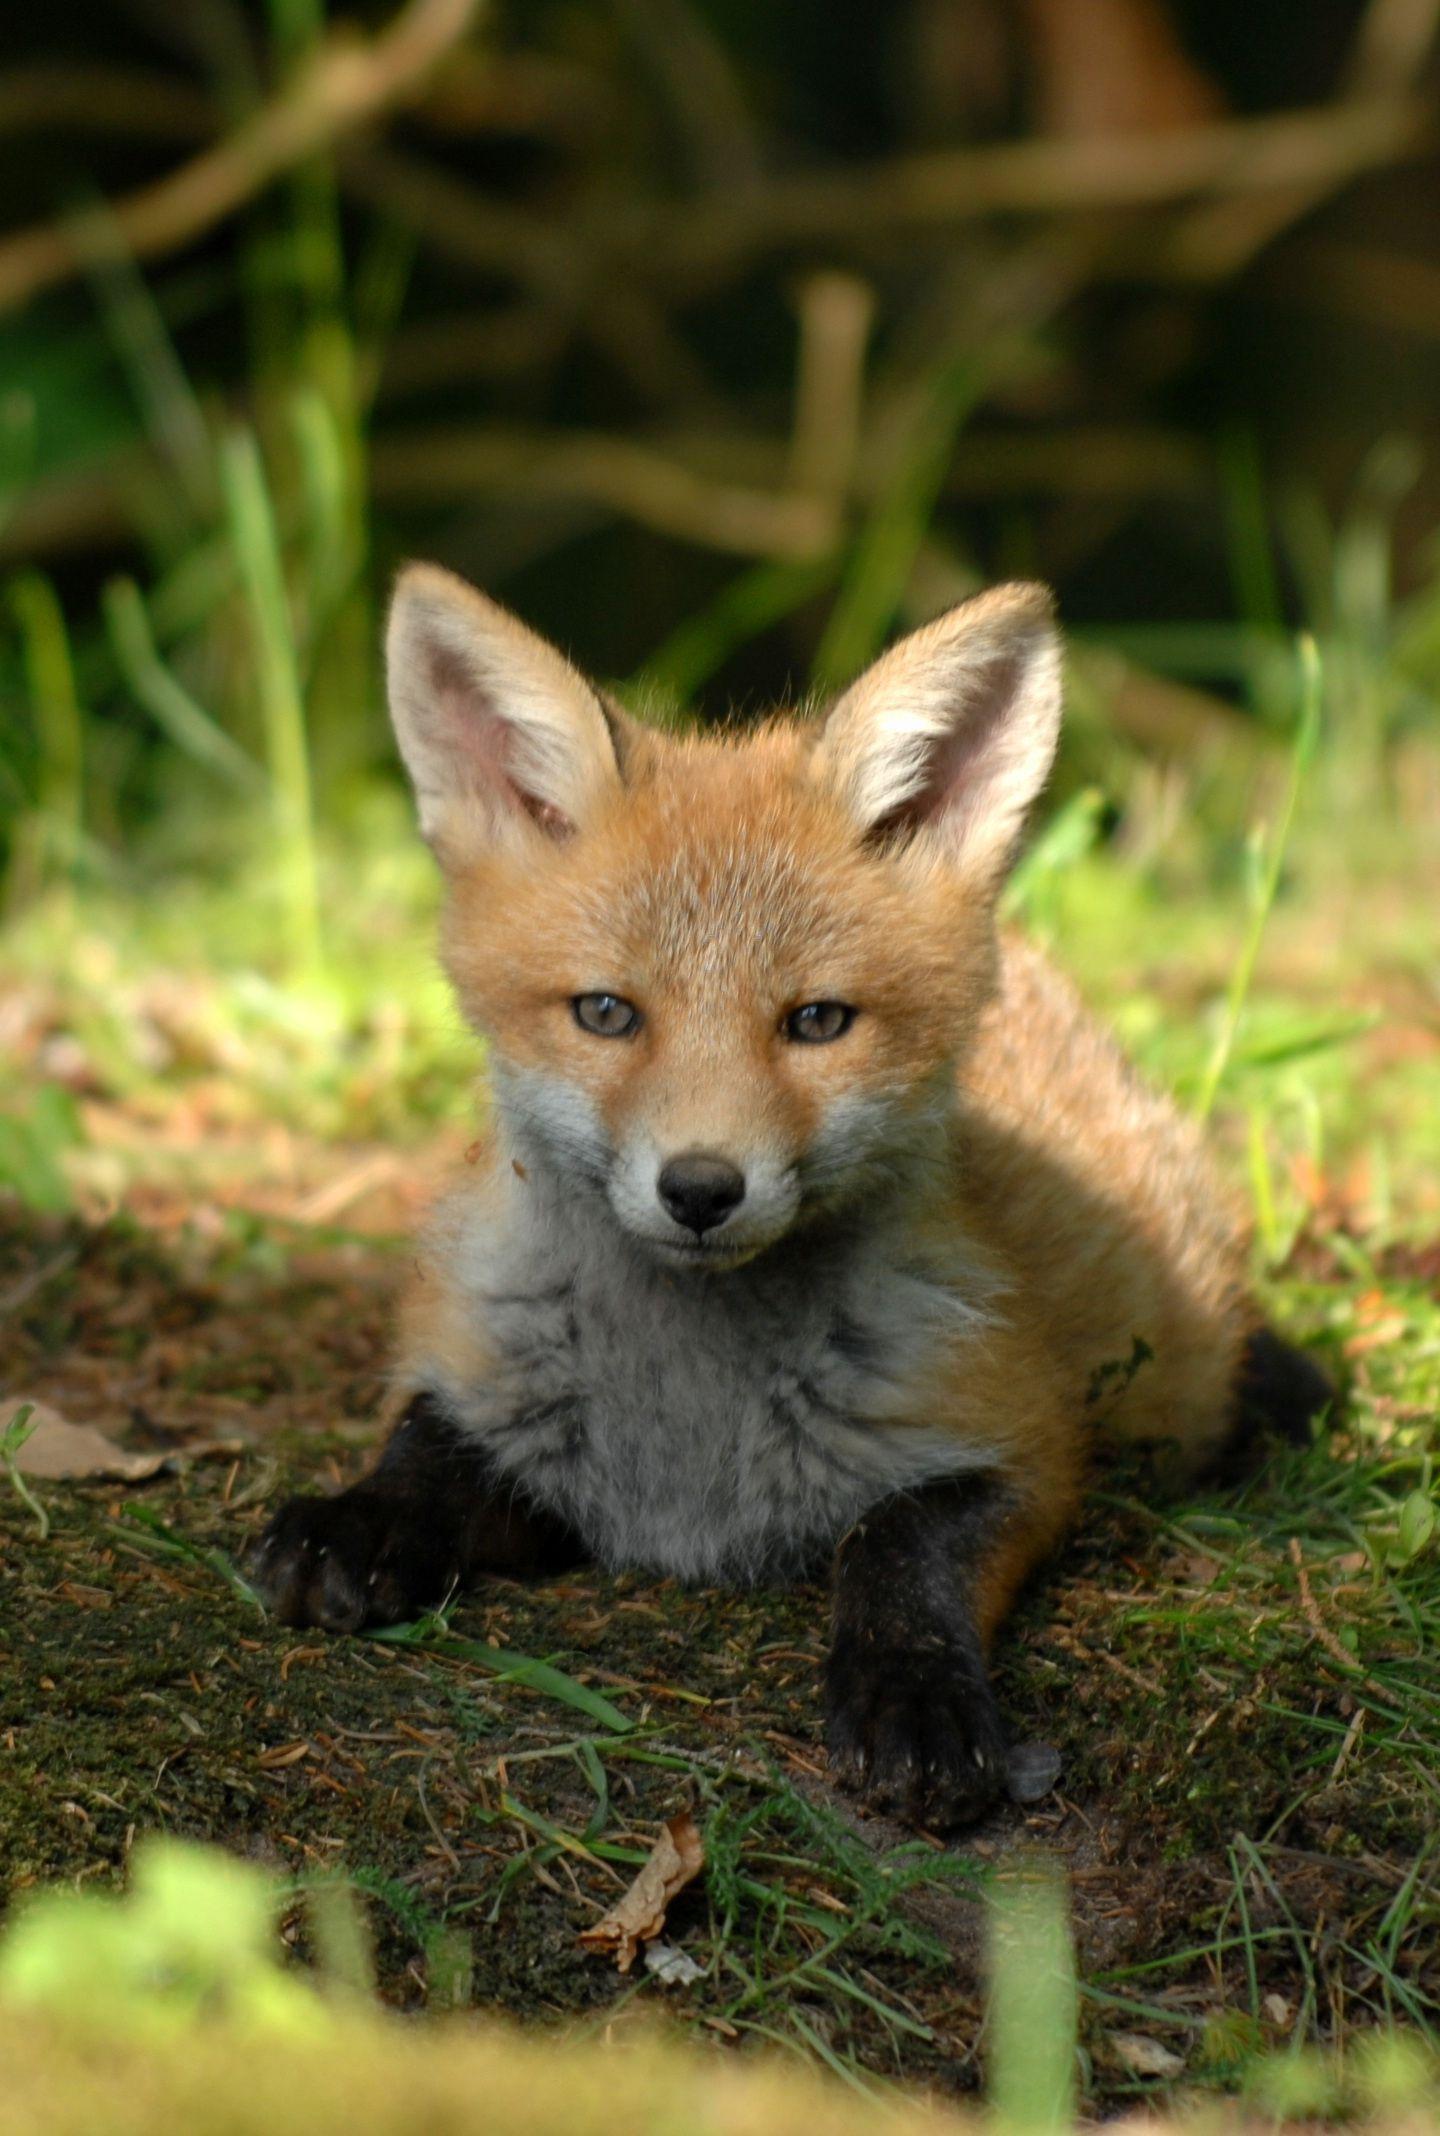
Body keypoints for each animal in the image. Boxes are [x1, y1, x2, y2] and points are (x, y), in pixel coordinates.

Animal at [250, 564, 1331, 1828]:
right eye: (606, 1013)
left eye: (817, 1021)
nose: (701, 1189)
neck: (687, 1433)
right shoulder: (497, 1391)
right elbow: (426, 1448)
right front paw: (356, 1521)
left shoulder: (1020, 1439)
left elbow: (895, 1545)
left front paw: (912, 1692)